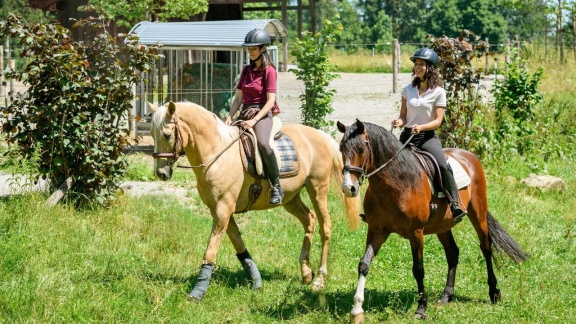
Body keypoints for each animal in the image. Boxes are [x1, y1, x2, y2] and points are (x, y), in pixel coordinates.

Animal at [146, 101, 358, 302]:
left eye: (166, 135)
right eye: (152, 134)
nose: (161, 173)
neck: (217, 154)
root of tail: (319, 135)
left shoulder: (223, 210)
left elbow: (210, 251)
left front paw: (197, 292)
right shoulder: (221, 211)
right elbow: (239, 246)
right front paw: (256, 281)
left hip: (317, 189)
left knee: (325, 227)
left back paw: (319, 280)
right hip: (291, 198)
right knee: (310, 220)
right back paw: (306, 272)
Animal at [338, 120, 532, 322]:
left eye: (361, 148)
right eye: (341, 149)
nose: (348, 188)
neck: (396, 182)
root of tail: (469, 156)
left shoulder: (416, 233)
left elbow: (418, 269)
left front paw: (421, 308)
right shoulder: (377, 230)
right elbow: (364, 264)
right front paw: (356, 309)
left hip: (477, 213)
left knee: (486, 248)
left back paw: (494, 292)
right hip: (442, 225)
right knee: (453, 252)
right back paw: (447, 295)